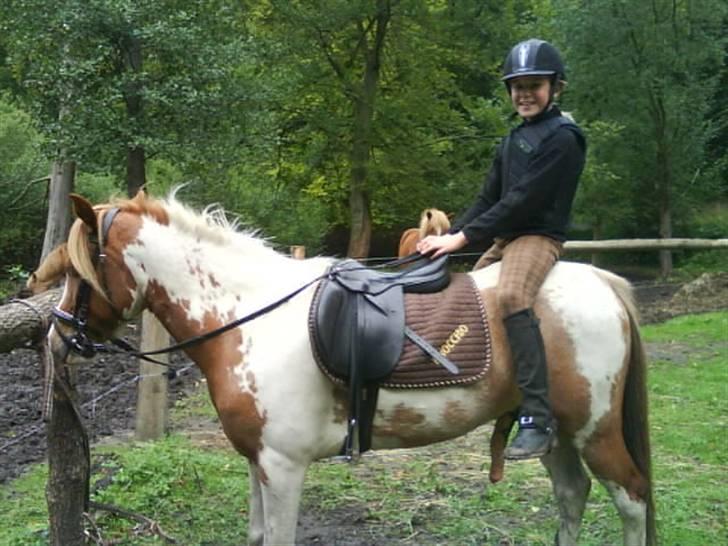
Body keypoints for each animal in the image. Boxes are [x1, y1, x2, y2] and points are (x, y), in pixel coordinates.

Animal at [33, 191, 656, 546]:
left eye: (78, 271)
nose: (57, 336)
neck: (247, 315)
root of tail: (603, 282)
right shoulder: (258, 462)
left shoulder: (283, 467)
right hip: (557, 434)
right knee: (572, 495)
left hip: (596, 432)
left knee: (631, 500)